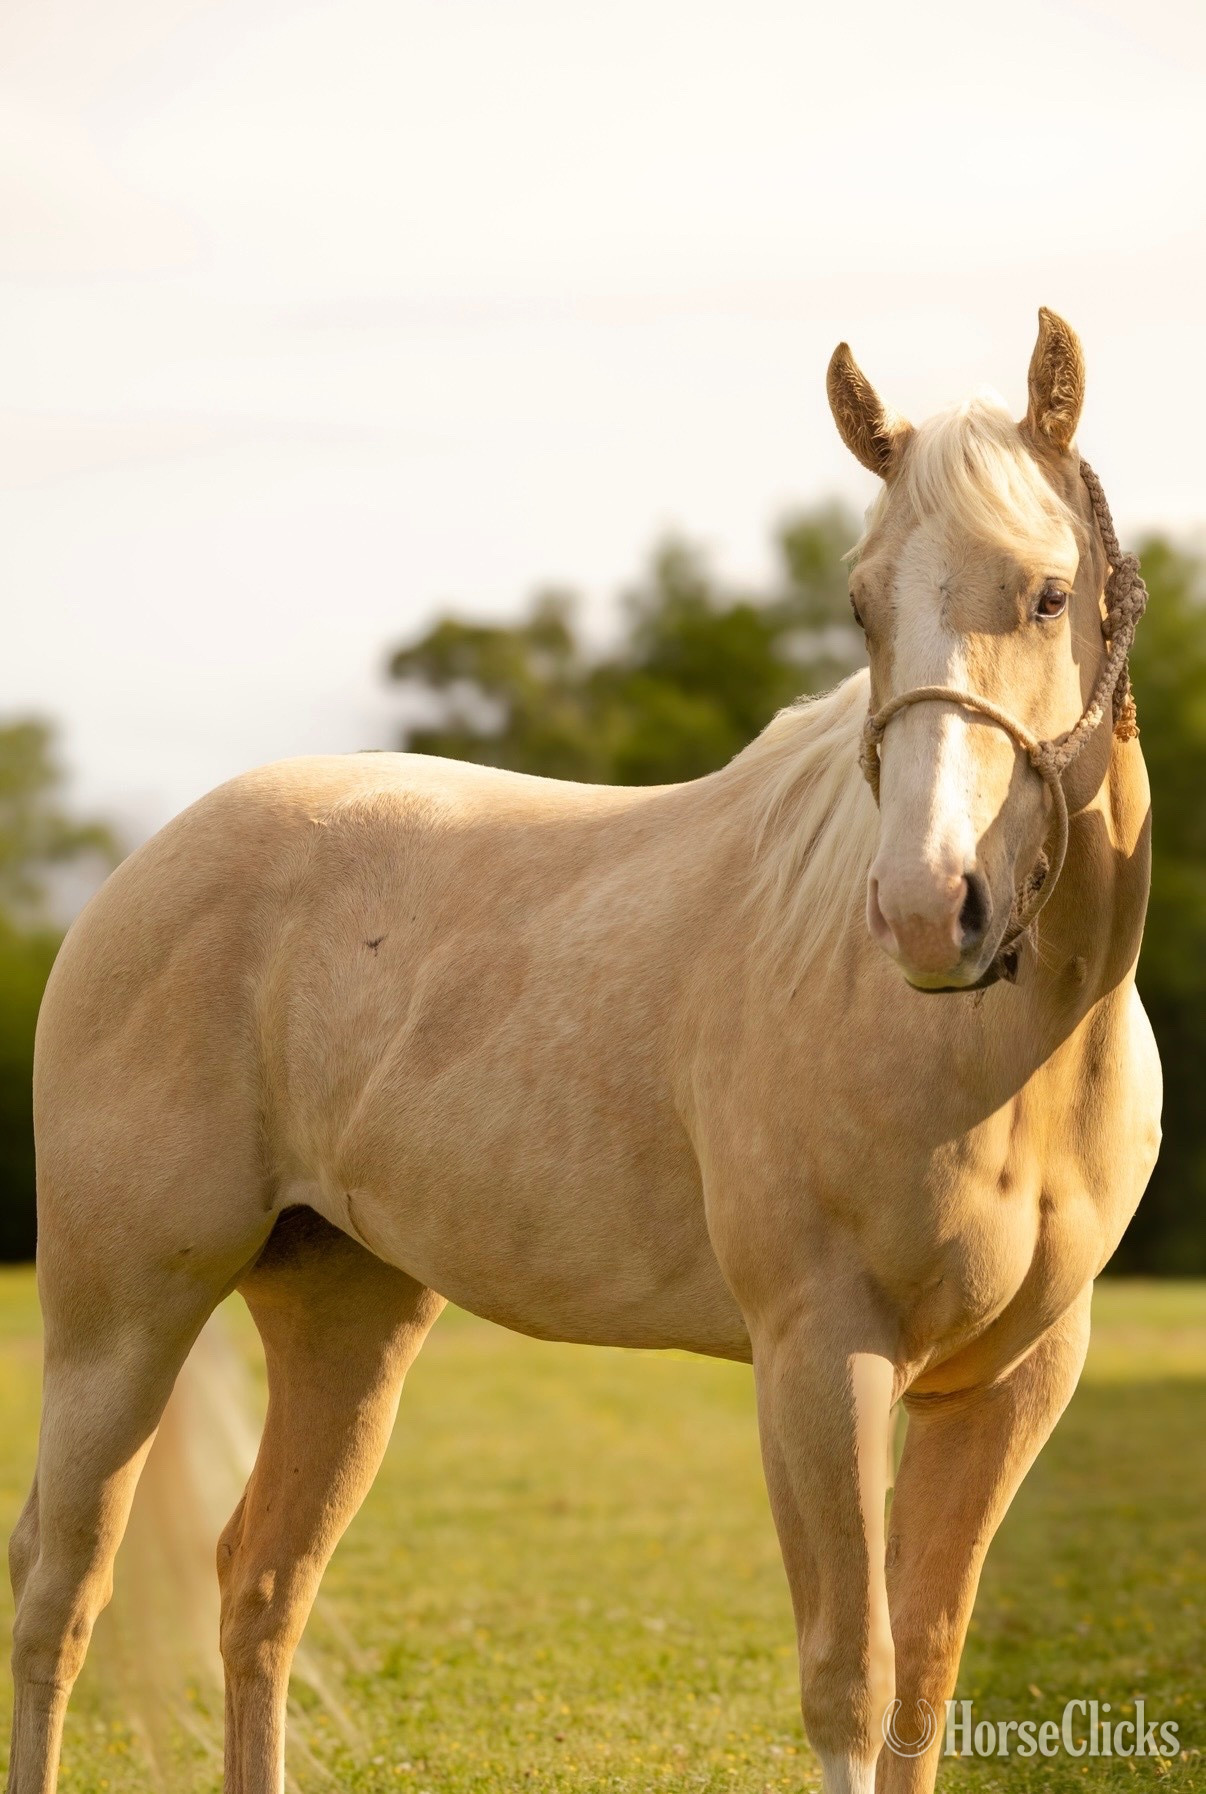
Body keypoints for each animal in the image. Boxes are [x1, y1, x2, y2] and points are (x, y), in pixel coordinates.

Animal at [6, 307, 1160, 1794]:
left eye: (1045, 594)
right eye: (860, 604)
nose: (925, 907)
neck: (1004, 1067)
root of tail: (131, 879)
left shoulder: (1010, 1385)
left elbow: (928, 1676)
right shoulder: (820, 1357)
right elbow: (851, 1683)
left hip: (345, 1315)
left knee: (260, 1583)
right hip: (120, 1315)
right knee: (60, 1591)